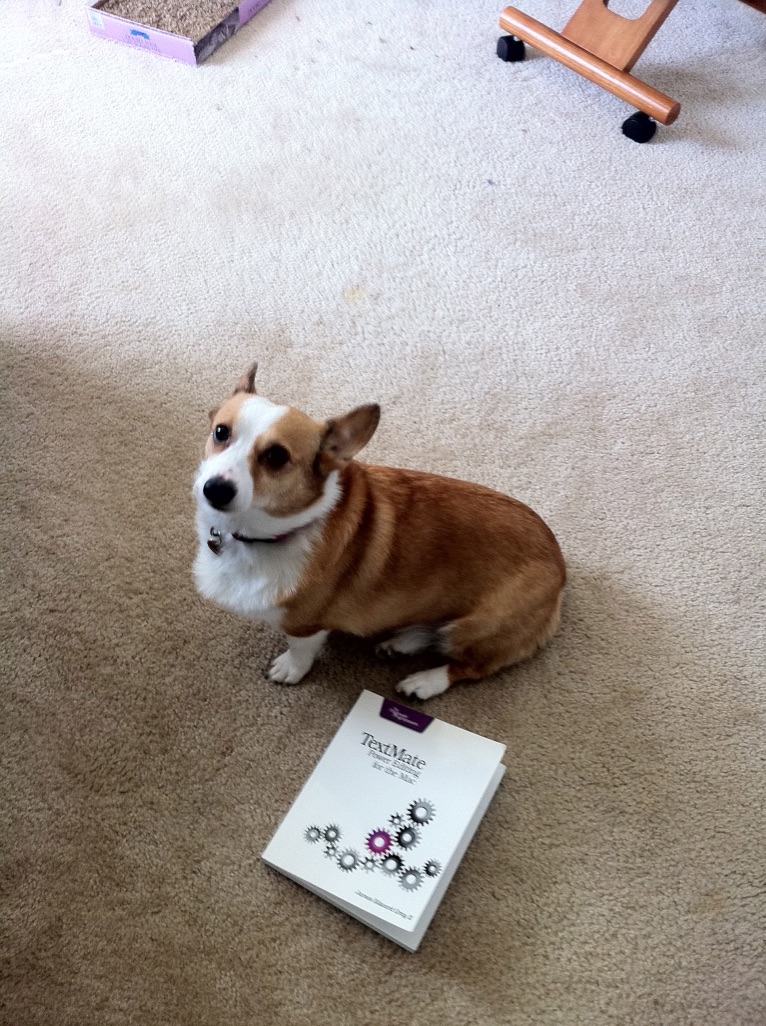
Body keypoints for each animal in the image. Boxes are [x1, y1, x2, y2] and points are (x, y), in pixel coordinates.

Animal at [192, 365, 561, 701]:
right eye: (221, 432)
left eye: (276, 456)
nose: (215, 489)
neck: (267, 534)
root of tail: (560, 567)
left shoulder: (305, 624)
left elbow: (300, 649)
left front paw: (289, 669)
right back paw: (401, 642)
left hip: (476, 627)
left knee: (468, 666)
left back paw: (423, 682)